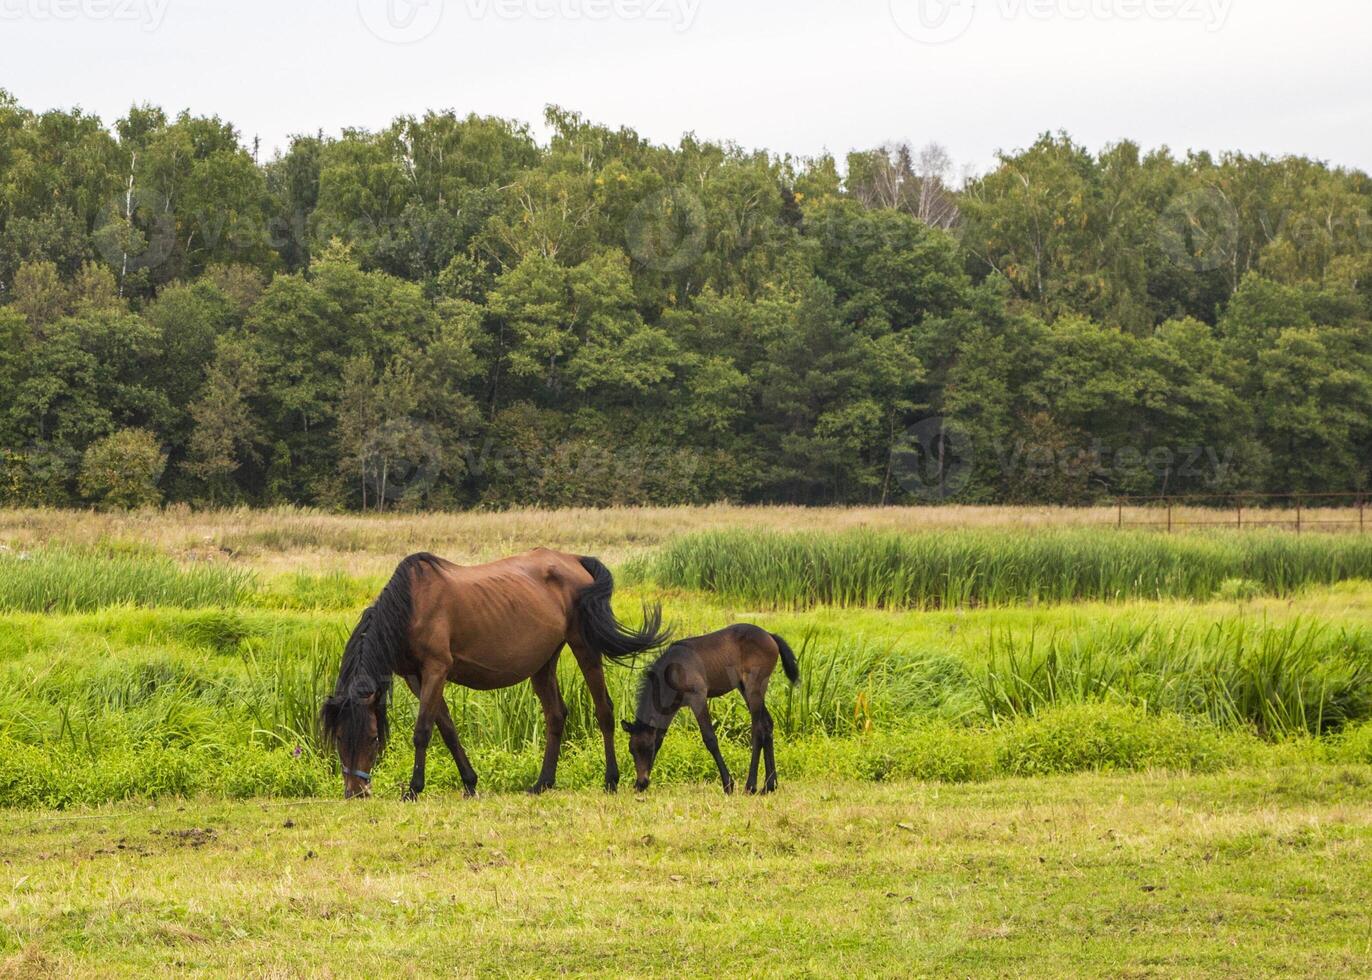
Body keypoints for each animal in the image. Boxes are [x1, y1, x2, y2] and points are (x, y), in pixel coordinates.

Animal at [321, 549, 664, 796]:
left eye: (372, 737)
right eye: (338, 737)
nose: (355, 792)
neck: (411, 606)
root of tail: (574, 560)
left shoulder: (436, 669)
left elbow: (423, 731)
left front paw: (414, 789)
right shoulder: (416, 677)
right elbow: (447, 729)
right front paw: (470, 783)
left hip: (584, 647)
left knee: (604, 710)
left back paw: (611, 780)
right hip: (543, 663)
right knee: (555, 716)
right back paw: (542, 783)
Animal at [620, 625, 801, 796]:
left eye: (647, 749)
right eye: (632, 750)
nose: (641, 782)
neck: (673, 671)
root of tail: (770, 636)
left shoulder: (698, 698)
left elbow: (710, 739)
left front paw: (728, 784)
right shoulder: (670, 708)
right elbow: (659, 738)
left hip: (754, 687)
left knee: (757, 731)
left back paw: (751, 786)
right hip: (744, 688)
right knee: (767, 725)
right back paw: (770, 786)